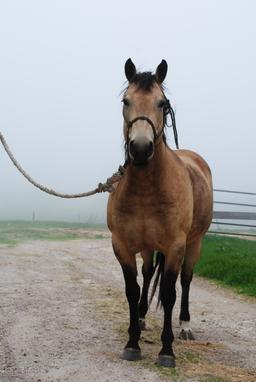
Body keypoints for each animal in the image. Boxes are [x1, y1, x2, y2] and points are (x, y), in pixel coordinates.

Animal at [106, 59, 212, 368]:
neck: (147, 190)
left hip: (194, 242)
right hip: (148, 247)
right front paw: (132, 342)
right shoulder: (122, 246)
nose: (141, 149)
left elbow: (168, 292)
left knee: (185, 281)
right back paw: (142, 318)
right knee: (148, 272)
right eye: (126, 101)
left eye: (162, 103)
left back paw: (186, 325)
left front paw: (167, 351)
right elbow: (132, 290)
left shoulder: (175, 246)